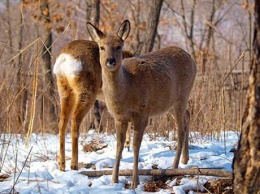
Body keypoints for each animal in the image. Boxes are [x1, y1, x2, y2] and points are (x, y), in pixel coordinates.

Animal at [53, 39, 133, 171]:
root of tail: (65, 58)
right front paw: (126, 146)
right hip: (87, 91)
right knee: (75, 120)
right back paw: (74, 164)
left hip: (64, 90)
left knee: (62, 122)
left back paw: (62, 164)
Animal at [87, 20, 197, 189]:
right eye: (101, 47)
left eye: (119, 46)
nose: (110, 61)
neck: (127, 87)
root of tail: (192, 59)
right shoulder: (119, 117)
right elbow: (119, 146)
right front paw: (114, 180)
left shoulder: (142, 113)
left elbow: (135, 145)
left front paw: (134, 182)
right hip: (171, 103)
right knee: (188, 116)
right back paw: (185, 159)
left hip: (182, 95)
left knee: (181, 129)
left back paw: (174, 166)